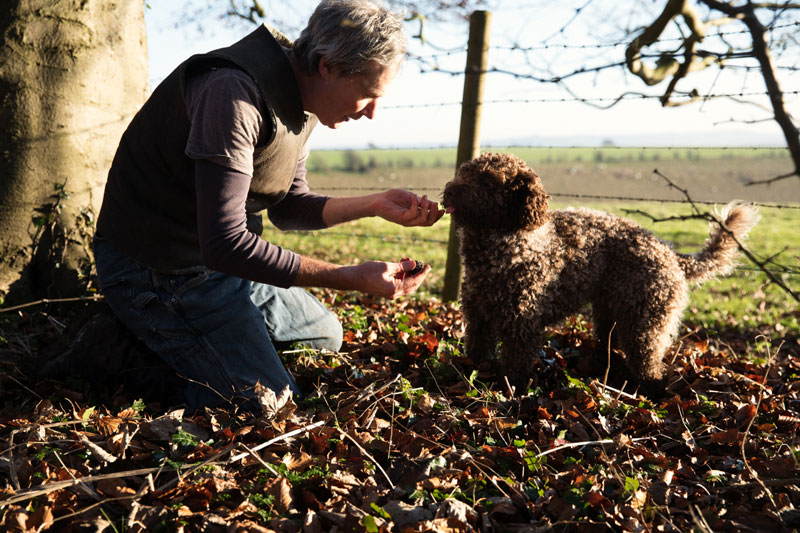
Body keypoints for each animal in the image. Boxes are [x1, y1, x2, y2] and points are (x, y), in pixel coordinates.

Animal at [440, 152, 760, 392]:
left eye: (489, 181)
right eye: (464, 172)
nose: (449, 191)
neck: (504, 243)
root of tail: (670, 253)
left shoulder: (521, 324)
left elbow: (516, 366)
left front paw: (512, 391)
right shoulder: (478, 317)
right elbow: (477, 352)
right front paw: (468, 375)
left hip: (645, 322)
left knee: (650, 365)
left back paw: (650, 391)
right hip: (610, 314)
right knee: (610, 347)